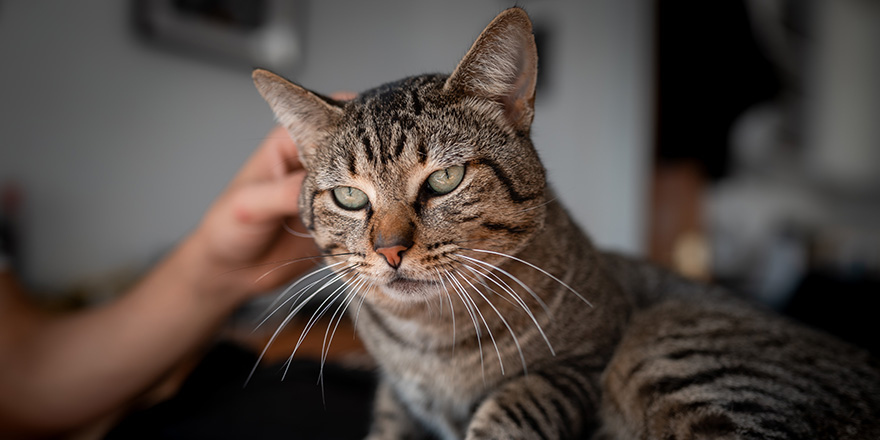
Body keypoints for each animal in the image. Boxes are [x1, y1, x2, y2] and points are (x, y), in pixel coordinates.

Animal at [251, 7, 880, 440]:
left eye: (445, 179)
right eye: (349, 197)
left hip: (666, 347)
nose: (389, 250)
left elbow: (512, 407)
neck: (429, 340)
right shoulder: (396, 400)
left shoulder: (580, 365)